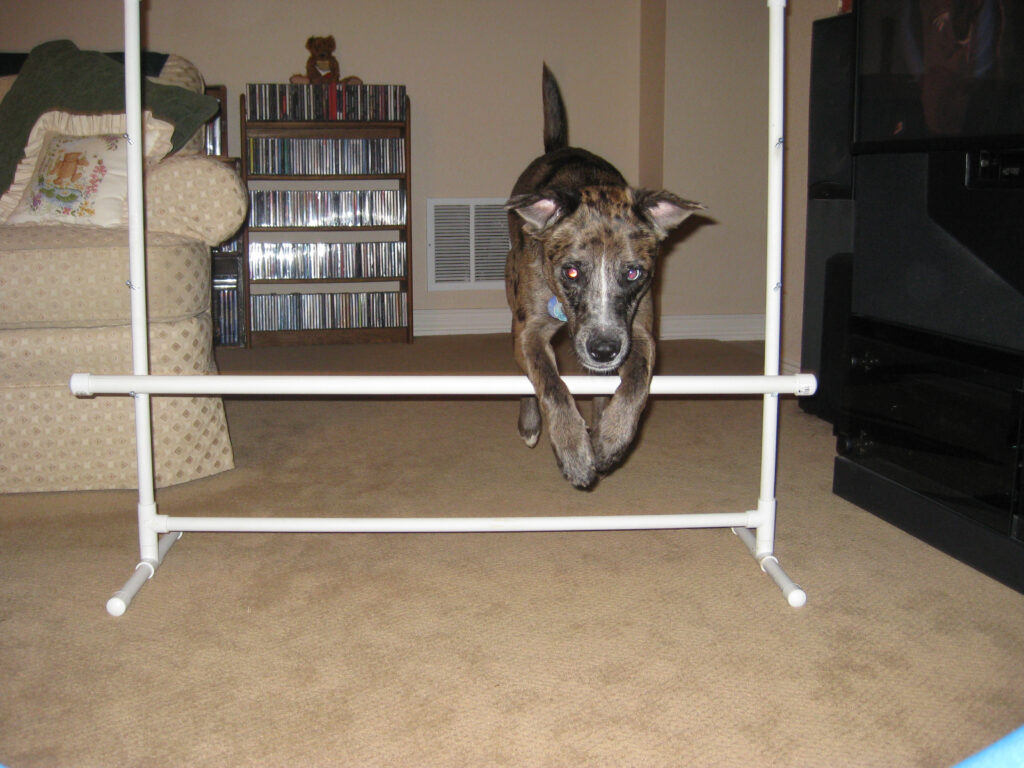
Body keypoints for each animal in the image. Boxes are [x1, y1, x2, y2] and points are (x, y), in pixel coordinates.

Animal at [505, 64, 704, 487]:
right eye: (571, 270)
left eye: (633, 272)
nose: (603, 349)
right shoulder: (530, 331)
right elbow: (550, 382)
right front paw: (573, 449)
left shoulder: (639, 330)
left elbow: (637, 381)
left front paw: (610, 438)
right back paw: (531, 423)